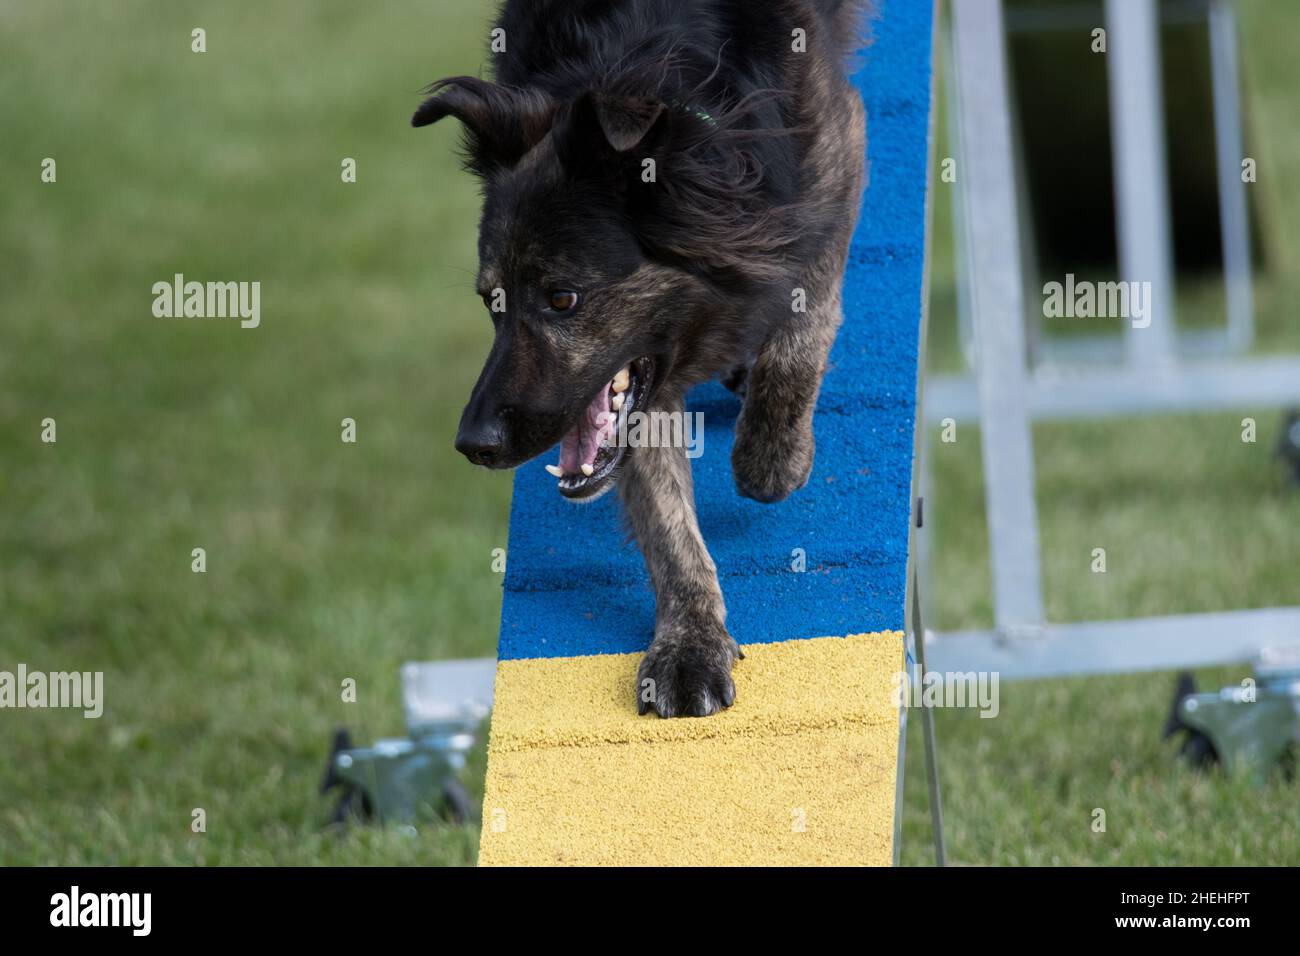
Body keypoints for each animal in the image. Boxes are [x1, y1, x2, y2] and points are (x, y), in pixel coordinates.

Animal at [410, 0, 868, 717]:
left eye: (563, 297)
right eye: (491, 302)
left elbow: (805, 317)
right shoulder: (641, 386)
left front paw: (771, 458)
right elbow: (664, 517)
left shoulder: (835, 145)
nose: (474, 445)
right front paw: (690, 643)